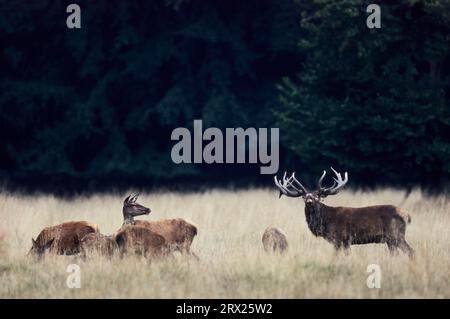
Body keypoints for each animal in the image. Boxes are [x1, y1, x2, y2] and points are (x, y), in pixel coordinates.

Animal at [272, 169, 414, 258]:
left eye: (317, 196)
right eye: (304, 197)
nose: (309, 200)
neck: (325, 222)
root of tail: (407, 215)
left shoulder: (341, 238)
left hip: (396, 235)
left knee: (411, 251)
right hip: (391, 239)